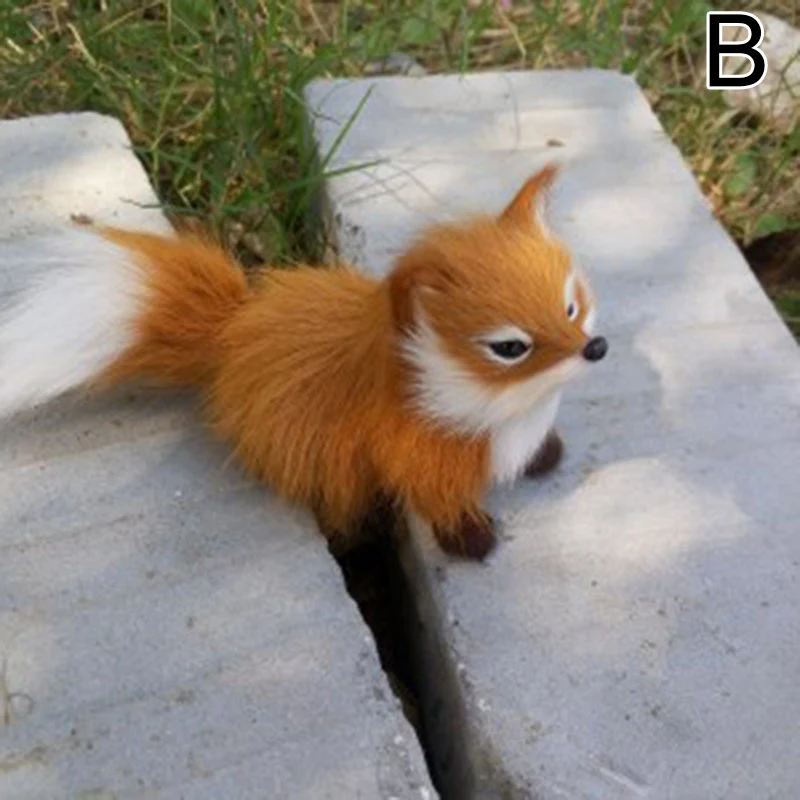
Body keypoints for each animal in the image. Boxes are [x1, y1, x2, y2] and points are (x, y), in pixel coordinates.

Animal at [0, 164, 606, 560]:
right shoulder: (419, 456)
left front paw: (545, 455)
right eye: (510, 348)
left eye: (570, 306)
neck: (505, 406)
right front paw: (472, 540)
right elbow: (440, 501)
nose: (594, 349)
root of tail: (231, 330)